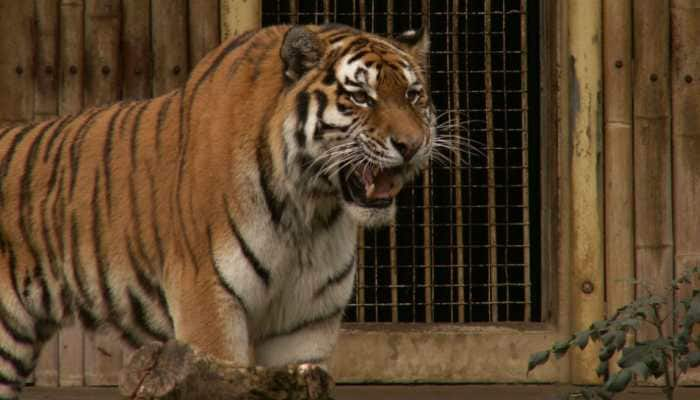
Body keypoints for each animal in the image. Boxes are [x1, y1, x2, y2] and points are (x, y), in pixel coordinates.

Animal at [0, 23, 438, 398]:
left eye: (413, 95)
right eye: (361, 97)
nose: (413, 144)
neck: (310, 213)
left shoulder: (304, 327)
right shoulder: (208, 303)